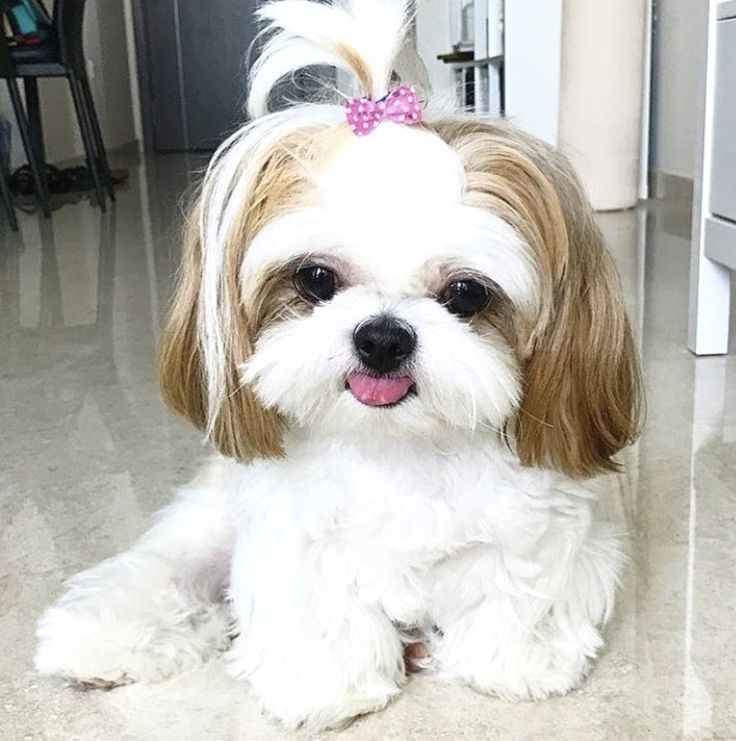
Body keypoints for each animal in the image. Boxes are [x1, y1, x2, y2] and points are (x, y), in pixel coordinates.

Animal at [36, 0, 640, 728]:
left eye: (467, 293)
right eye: (316, 278)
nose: (381, 337)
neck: (400, 450)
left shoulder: (542, 526)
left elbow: (517, 587)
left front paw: (515, 660)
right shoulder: (293, 537)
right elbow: (317, 613)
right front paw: (325, 685)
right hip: (207, 524)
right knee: (165, 569)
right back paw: (101, 639)